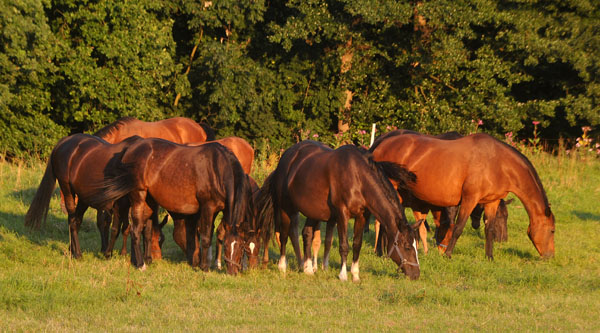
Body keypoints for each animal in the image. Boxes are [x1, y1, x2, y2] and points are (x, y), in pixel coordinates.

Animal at [85, 137, 254, 272]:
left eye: (241, 246)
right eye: (226, 246)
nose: (233, 272)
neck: (218, 168)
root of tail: (129, 149)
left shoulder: (217, 210)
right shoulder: (208, 207)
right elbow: (205, 237)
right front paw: (204, 267)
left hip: (149, 202)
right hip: (138, 197)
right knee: (135, 230)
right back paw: (140, 264)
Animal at [254, 140, 422, 280]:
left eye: (415, 245)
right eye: (407, 246)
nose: (416, 274)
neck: (357, 177)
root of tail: (286, 157)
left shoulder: (361, 216)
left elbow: (357, 244)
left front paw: (355, 274)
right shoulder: (342, 215)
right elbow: (344, 246)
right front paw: (343, 275)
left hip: (311, 211)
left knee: (306, 234)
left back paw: (307, 268)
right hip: (286, 208)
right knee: (284, 235)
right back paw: (283, 267)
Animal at [370, 131, 556, 258]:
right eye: (552, 230)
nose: (550, 256)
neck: (497, 163)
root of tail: (380, 144)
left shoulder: (492, 201)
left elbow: (489, 229)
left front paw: (489, 257)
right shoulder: (469, 199)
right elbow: (458, 227)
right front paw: (448, 255)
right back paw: (382, 252)